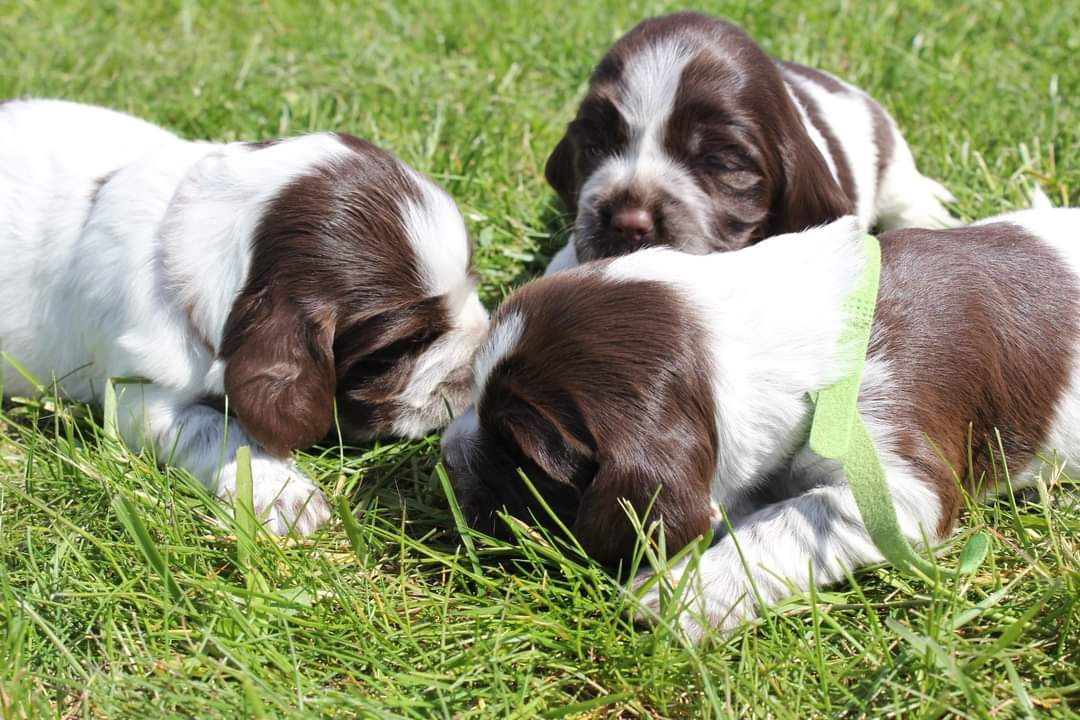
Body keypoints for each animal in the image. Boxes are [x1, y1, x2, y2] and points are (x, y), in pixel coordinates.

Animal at [0, 97, 488, 535]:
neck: (183, 234)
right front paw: (285, 494)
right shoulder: (139, 395)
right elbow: (220, 430)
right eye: (409, 341)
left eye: (472, 281)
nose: (481, 355)